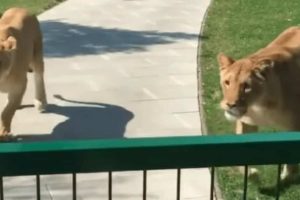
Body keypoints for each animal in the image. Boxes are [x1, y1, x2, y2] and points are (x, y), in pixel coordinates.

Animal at [0, 7, 46, 136]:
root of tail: (21, 8)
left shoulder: (19, 86)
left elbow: (6, 112)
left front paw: (4, 133)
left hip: (36, 53)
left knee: (39, 76)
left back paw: (40, 102)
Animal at [218, 25, 300, 182]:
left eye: (246, 86)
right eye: (227, 82)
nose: (230, 105)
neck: (258, 106)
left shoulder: (294, 127)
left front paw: (287, 176)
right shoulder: (246, 122)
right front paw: (251, 174)